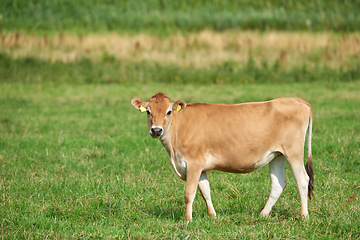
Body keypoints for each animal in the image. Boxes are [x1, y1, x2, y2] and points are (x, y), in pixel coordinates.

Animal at [131, 93, 314, 220]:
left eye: (169, 112)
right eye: (148, 112)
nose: (156, 130)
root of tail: (296, 100)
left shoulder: (194, 163)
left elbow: (189, 192)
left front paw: (187, 219)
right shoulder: (201, 167)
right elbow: (205, 191)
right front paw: (212, 215)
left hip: (294, 152)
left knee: (302, 180)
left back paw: (304, 216)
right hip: (277, 155)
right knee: (278, 183)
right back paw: (263, 214)